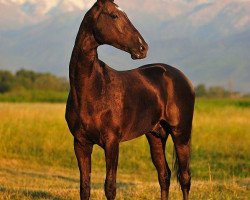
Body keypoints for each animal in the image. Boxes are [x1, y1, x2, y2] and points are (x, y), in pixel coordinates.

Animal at [65, 0, 194, 200]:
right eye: (114, 15)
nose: (143, 47)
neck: (91, 90)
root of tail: (181, 77)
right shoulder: (80, 144)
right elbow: (84, 188)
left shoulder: (111, 143)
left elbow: (110, 187)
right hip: (156, 135)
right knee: (164, 175)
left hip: (181, 134)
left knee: (185, 178)